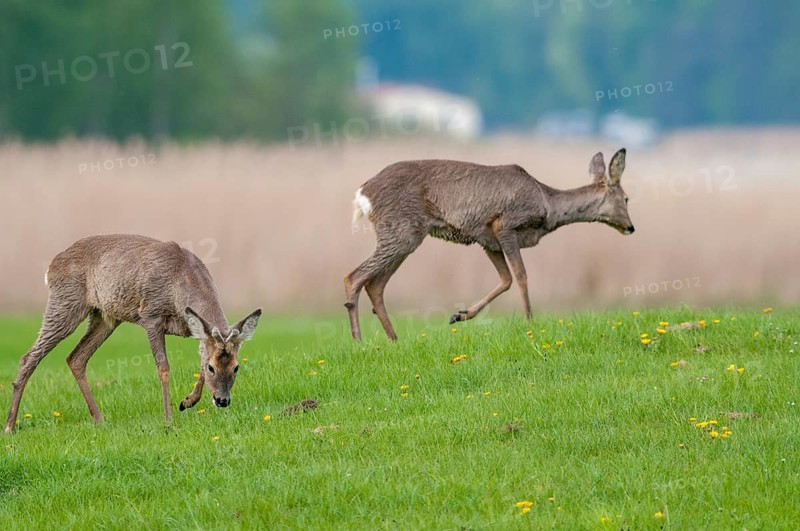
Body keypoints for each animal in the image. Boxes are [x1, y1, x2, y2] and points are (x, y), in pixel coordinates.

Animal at [4, 234, 262, 433]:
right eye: (212, 368)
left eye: (236, 367)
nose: (222, 400)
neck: (180, 284)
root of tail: (51, 267)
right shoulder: (151, 315)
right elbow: (163, 367)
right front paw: (168, 419)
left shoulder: (192, 328)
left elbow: (200, 353)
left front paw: (187, 402)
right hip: (65, 303)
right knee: (30, 357)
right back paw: (9, 426)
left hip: (105, 317)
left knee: (75, 358)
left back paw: (99, 420)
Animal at [344, 148, 633, 341]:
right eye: (627, 198)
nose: (631, 227)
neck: (547, 204)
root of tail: (362, 194)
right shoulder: (505, 225)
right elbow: (521, 275)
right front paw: (530, 323)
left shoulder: (487, 241)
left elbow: (505, 279)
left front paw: (459, 315)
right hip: (402, 231)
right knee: (354, 276)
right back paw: (359, 340)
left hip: (405, 236)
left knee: (375, 284)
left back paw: (393, 339)